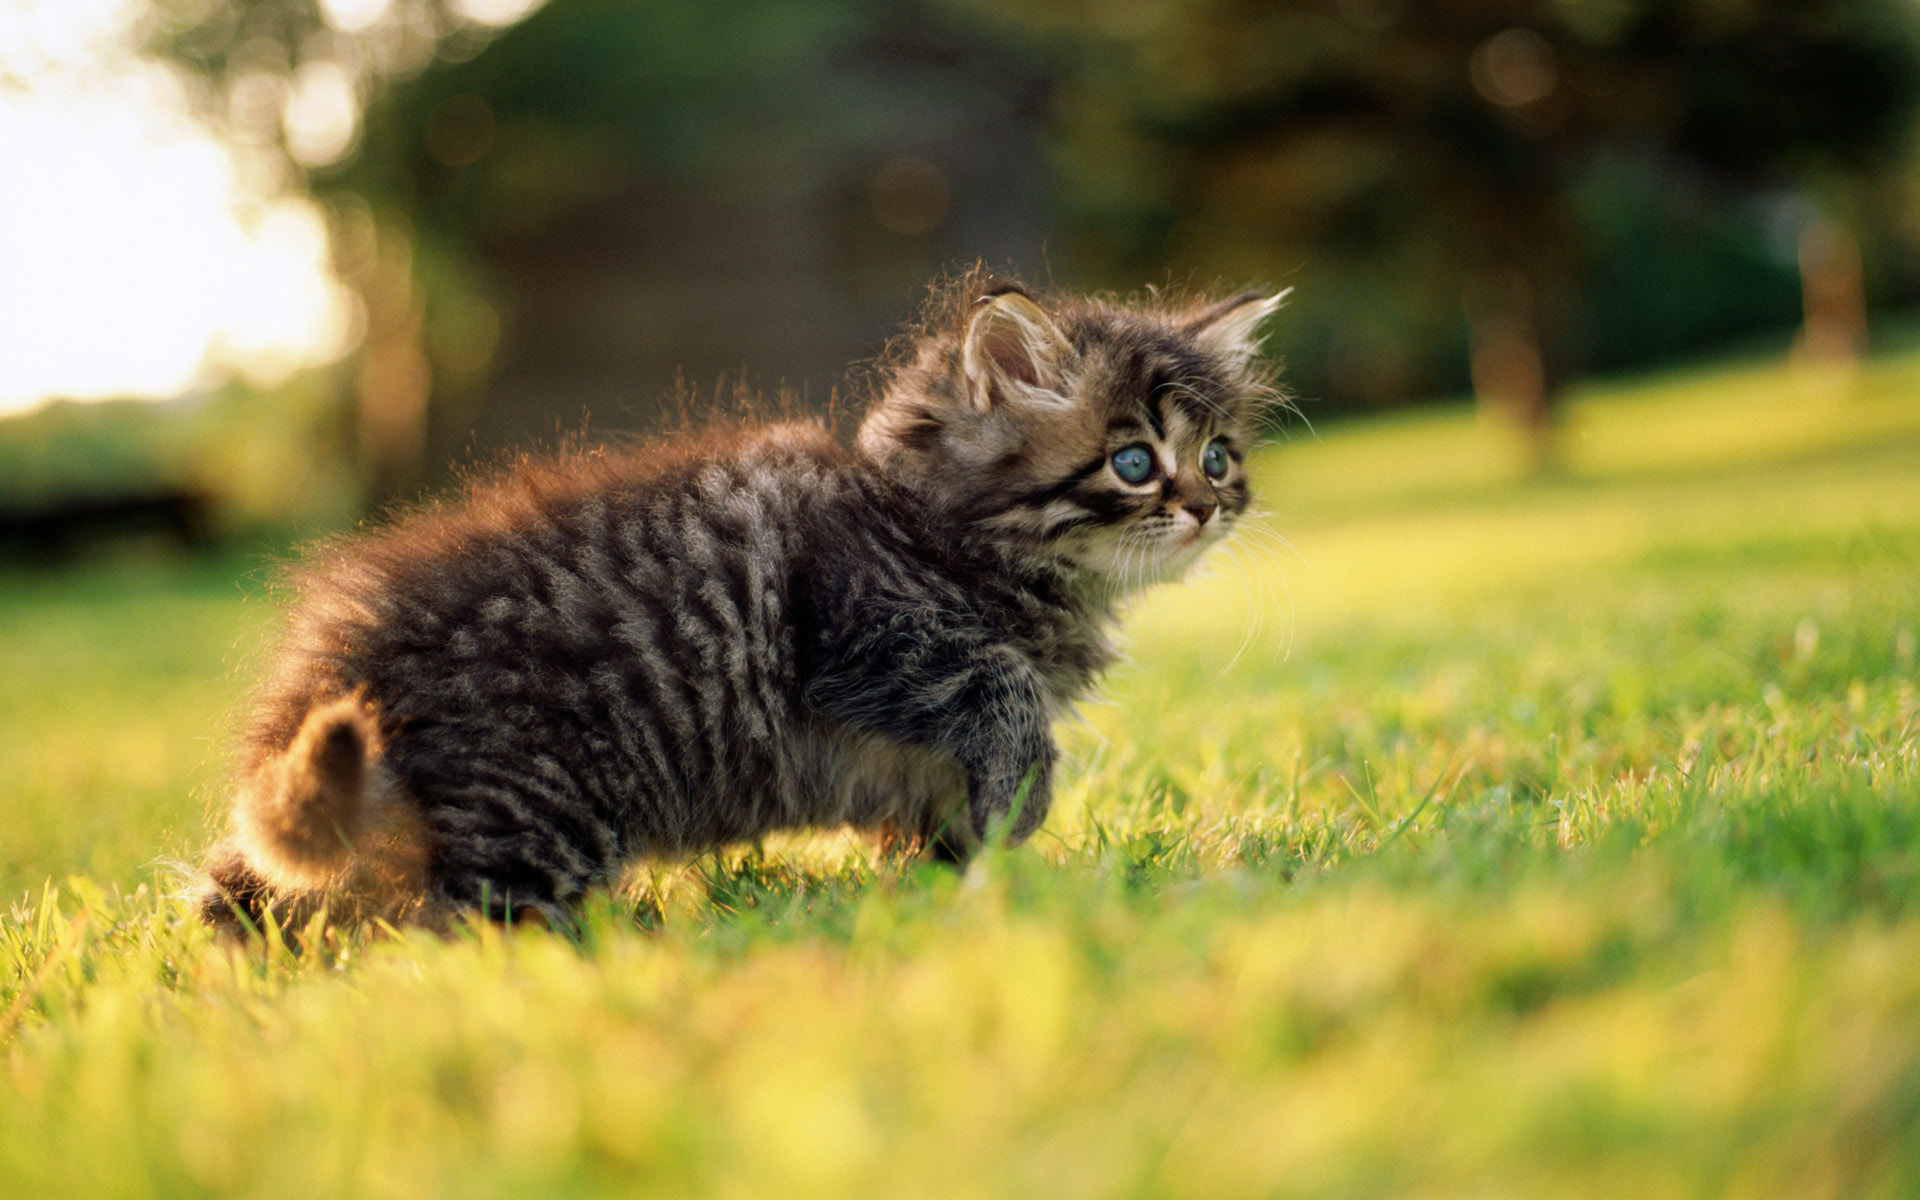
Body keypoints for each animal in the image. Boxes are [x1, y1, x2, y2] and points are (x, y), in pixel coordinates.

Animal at [194, 276, 1282, 933]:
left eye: (1219, 456)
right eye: (1134, 461)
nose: (1207, 506)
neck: (933, 527)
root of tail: (326, 673)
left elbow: (939, 833)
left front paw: (956, 884)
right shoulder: (857, 628)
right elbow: (1001, 687)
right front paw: (1023, 805)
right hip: (530, 814)